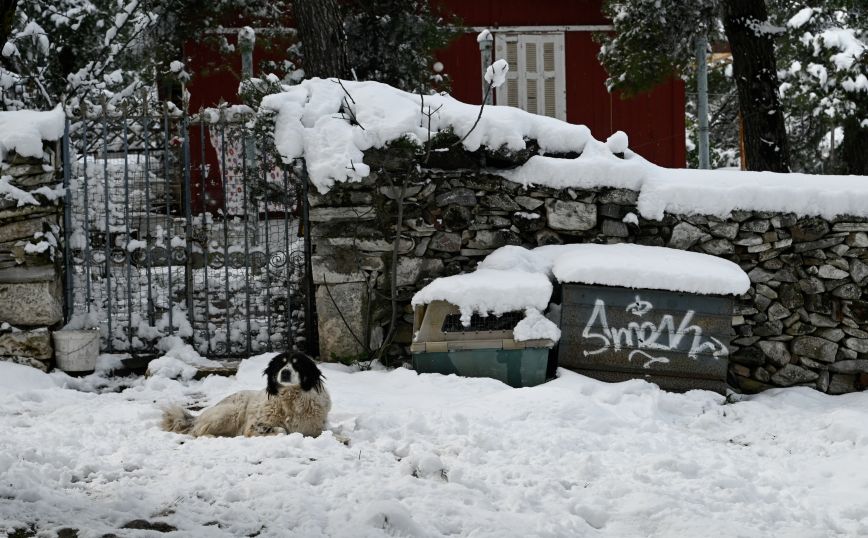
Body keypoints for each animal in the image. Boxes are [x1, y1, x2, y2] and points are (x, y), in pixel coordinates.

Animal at [161, 352, 330, 436]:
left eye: (297, 365)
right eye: (280, 365)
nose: (285, 372)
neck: (291, 400)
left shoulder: (314, 429)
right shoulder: (253, 426)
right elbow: (282, 430)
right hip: (230, 413)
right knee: (198, 431)